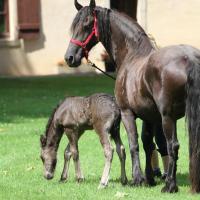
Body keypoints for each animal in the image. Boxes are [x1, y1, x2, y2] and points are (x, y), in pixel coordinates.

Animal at [65, 0, 200, 194]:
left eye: (87, 25)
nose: (69, 57)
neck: (132, 54)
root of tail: (189, 58)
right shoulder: (150, 117)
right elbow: (147, 144)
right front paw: (149, 179)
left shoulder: (127, 113)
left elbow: (133, 144)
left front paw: (137, 179)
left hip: (168, 117)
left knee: (172, 145)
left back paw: (170, 185)